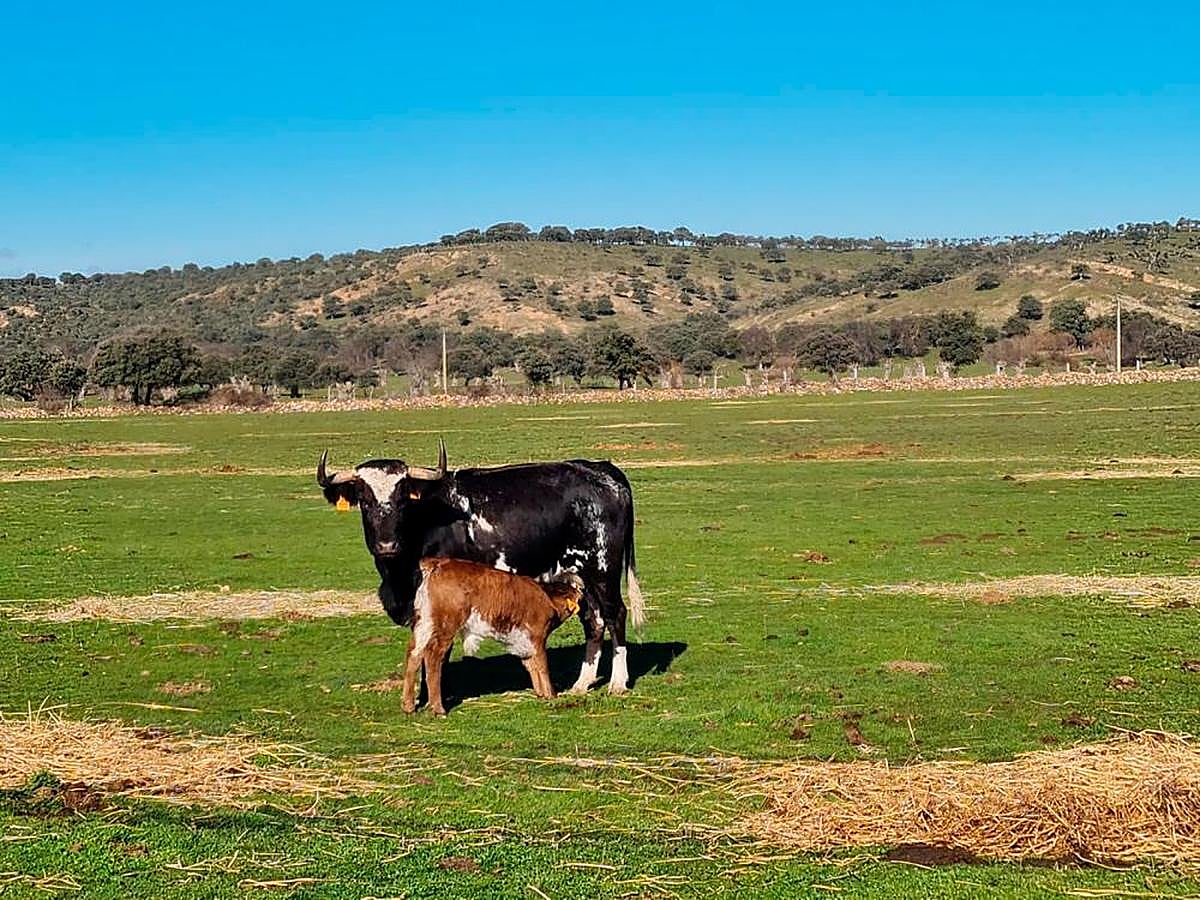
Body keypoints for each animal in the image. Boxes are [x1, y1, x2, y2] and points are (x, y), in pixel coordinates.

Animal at [317, 442, 645, 694]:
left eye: (402, 500)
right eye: (364, 500)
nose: (387, 545)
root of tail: (600, 470)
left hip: (602, 570)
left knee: (615, 615)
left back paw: (617, 683)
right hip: (580, 575)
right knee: (593, 620)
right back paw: (582, 683)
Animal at [403, 558, 584, 715]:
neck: (547, 597)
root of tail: (439, 562)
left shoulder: (524, 643)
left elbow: (531, 665)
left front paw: (541, 694)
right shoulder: (537, 636)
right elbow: (542, 666)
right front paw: (551, 695)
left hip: (424, 623)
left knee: (414, 653)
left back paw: (408, 706)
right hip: (445, 626)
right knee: (433, 656)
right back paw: (438, 708)